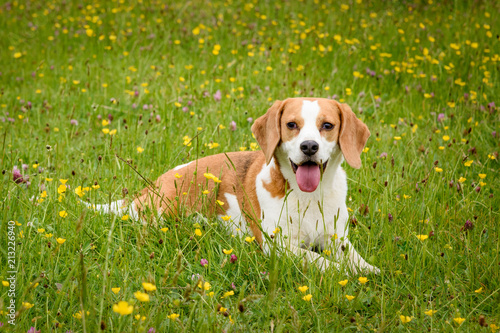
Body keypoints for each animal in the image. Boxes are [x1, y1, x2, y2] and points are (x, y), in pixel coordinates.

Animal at [88, 97, 380, 274]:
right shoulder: (279, 246)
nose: (309, 146)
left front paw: (368, 271)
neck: (309, 197)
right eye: (291, 125)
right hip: (163, 213)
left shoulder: (338, 239)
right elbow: (320, 260)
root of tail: (149, 188)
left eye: (327, 125)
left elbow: (355, 259)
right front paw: (340, 272)